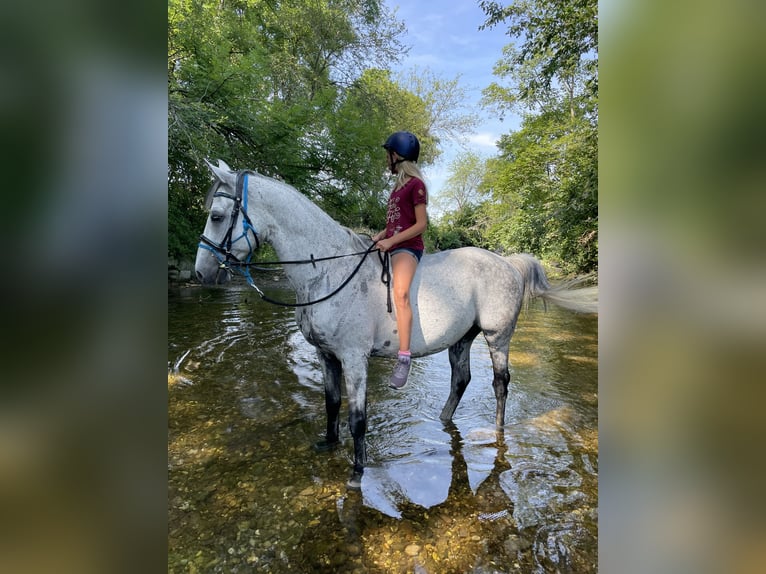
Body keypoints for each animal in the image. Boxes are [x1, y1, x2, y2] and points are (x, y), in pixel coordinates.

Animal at [194, 160, 596, 489]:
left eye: (216, 217)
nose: (201, 273)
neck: (327, 272)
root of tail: (507, 263)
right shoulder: (327, 355)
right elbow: (331, 403)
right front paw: (327, 444)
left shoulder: (354, 358)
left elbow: (357, 417)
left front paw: (357, 472)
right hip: (461, 338)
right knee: (461, 379)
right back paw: (443, 421)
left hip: (498, 337)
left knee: (500, 384)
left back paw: (496, 431)